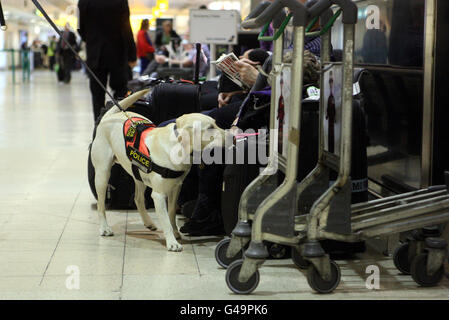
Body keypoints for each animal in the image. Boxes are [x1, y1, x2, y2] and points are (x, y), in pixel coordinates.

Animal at [89, 89, 226, 250]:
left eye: (216, 123)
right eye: (210, 127)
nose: (233, 135)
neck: (177, 146)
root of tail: (109, 116)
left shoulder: (176, 188)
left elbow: (171, 213)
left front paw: (175, 232)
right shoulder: (159, 195)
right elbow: (165, 219)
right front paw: (172, 242)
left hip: (139, 174)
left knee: (138, 198)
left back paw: (148, 222)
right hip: (103, 174)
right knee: (101, 204)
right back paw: (104, 228)